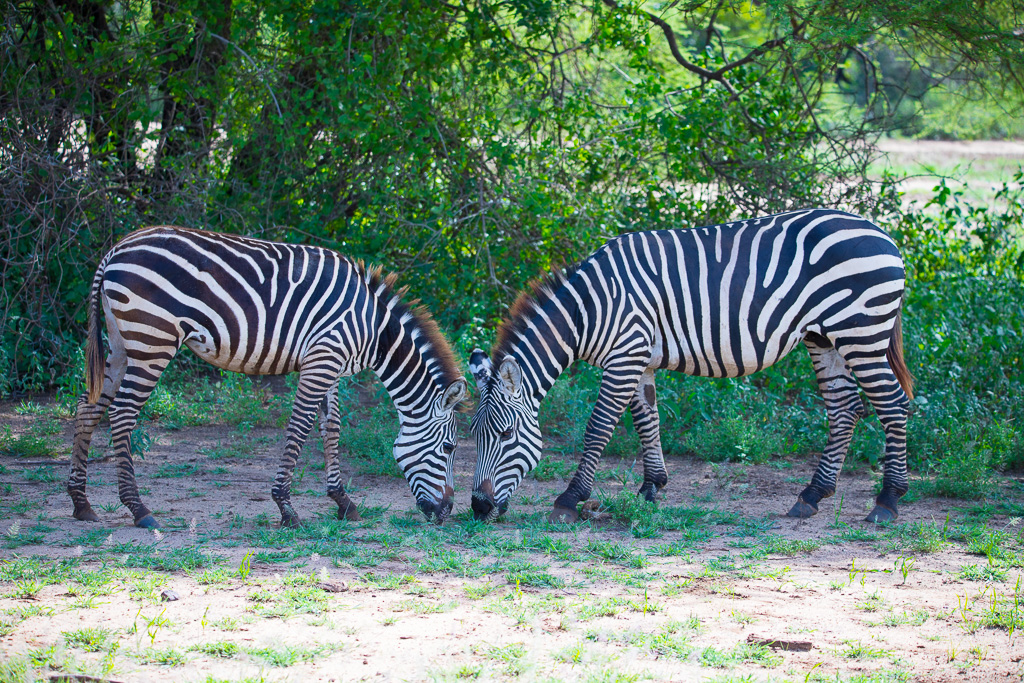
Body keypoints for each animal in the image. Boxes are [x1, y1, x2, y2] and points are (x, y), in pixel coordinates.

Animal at [71, 227, 468, 532]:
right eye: (450, 448)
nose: (446, 514)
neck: (375, 331)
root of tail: (116, 250)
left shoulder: (330, 366)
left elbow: (332, 429)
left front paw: (343, 502)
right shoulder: (322, 360)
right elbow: (299, 428)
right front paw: (286, 507)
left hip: (122, 342)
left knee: (88, 408)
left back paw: (81, 503)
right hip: (152, 340)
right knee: (122, 414)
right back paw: (139, 509)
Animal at [468, 210, 913, 528]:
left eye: (506, 434)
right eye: (474, 435)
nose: (478, 507)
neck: (589, 310)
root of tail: (882, 233)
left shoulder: (624, 356)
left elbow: (599, 428)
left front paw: (570, 499)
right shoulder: (640, 359)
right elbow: (647, 420)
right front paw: (651, 488)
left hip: (861, 333)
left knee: (893, 405)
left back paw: (888, 501)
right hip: (824, 337)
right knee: (845, 408)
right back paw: (812, 495)